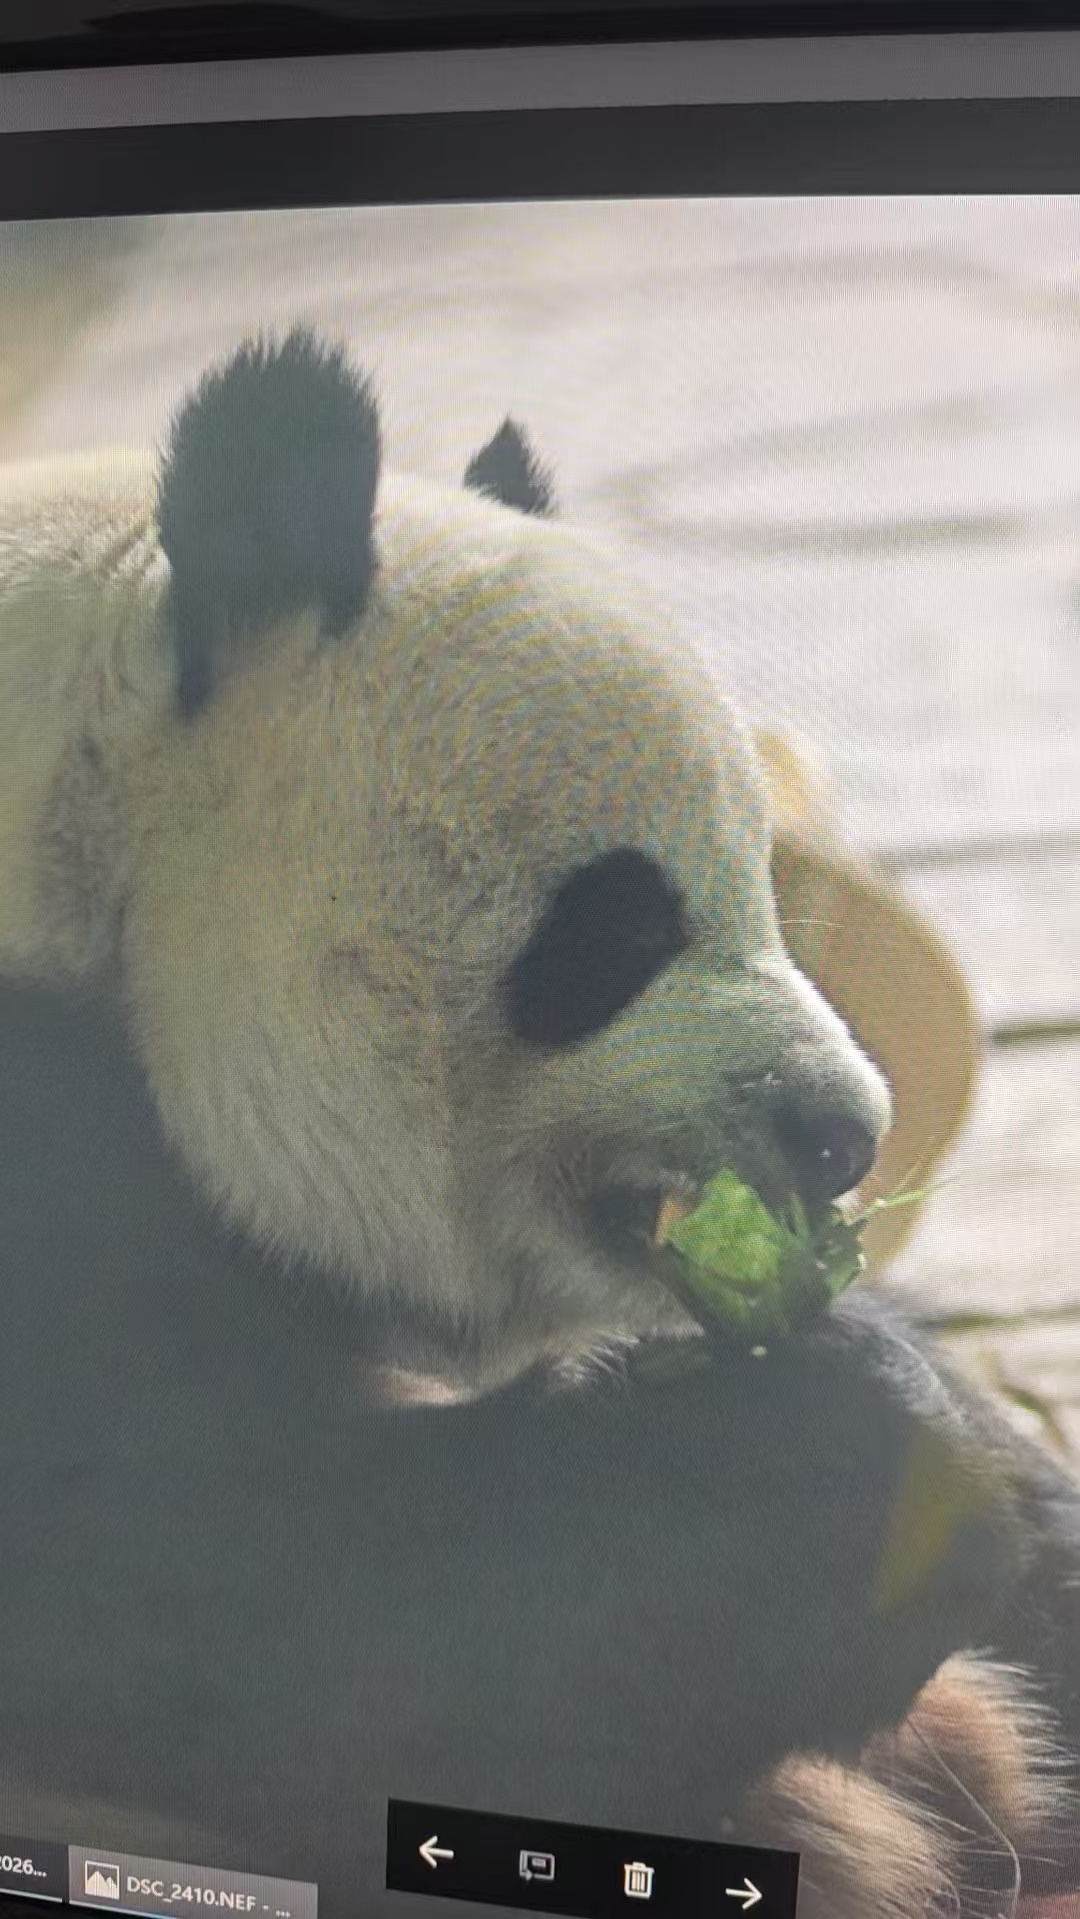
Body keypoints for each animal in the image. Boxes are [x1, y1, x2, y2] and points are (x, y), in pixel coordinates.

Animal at [1, 330, 1079, 1919]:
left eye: (770, 884)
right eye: (617, 927)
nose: (842, 1135)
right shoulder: (40, 1176)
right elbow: (287, 1619)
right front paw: (876, 1468)